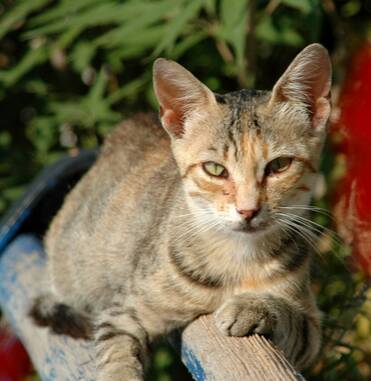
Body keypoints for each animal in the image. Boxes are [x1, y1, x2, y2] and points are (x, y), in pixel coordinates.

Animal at [30, 43, 332, 378]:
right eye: (215, 169)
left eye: (279, 165)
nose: (248, 210)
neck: (239, 257)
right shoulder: (125, 310)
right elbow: (116, 354)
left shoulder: (310, 332)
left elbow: (290, 316)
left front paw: (253, 307)